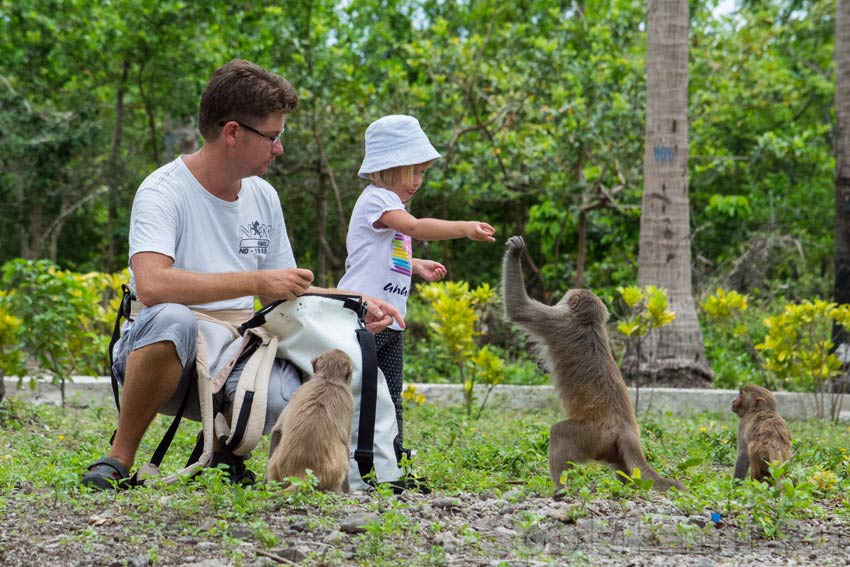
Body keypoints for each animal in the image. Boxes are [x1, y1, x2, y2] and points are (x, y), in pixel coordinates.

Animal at [500, 235, 680, 496]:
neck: (588, 323)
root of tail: (627, 431)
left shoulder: (556, 321)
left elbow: (518, 309)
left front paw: (516, 252)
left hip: (594, 436)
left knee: (559, 432)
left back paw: (561, 488)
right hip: (610, 446)